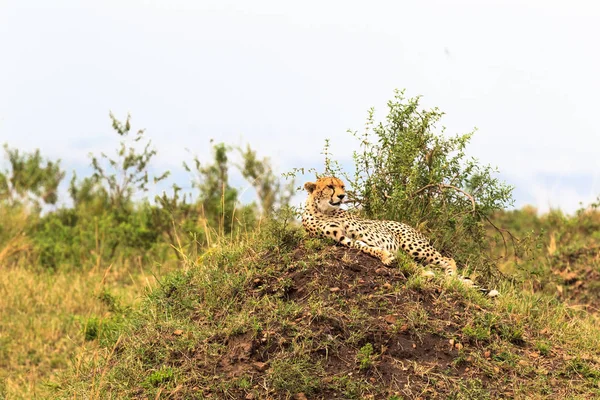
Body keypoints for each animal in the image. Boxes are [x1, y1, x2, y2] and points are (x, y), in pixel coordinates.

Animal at [302, 176, 500, 296]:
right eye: (330, 186)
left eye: (342, 187)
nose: (342, 196)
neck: (322, 210)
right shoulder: (342, 238)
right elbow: (363, 246)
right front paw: (386, 256)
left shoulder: (362, 230)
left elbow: (369, 242)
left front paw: (385, 254)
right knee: (434, 270)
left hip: (413, 246)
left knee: (448, 260)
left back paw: (450, 278)